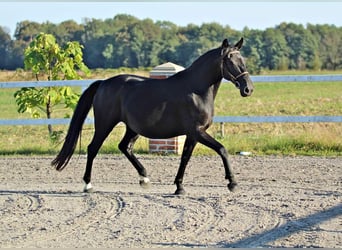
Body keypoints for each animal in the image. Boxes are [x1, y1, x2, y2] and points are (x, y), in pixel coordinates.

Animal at [51, 38, 254, 195]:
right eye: (230, 61)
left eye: (242, 59)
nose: (248, 89)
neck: (196, 90)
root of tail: (103, 83)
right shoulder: (197, 131)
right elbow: (222, 149)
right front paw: (232, 183)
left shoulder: (193, 134)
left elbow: (185, 158)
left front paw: (179, 187)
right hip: (105, 124)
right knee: (93, 148)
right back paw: (88, 185)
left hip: (132, 128)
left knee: (124, 147)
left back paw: (145, 178)